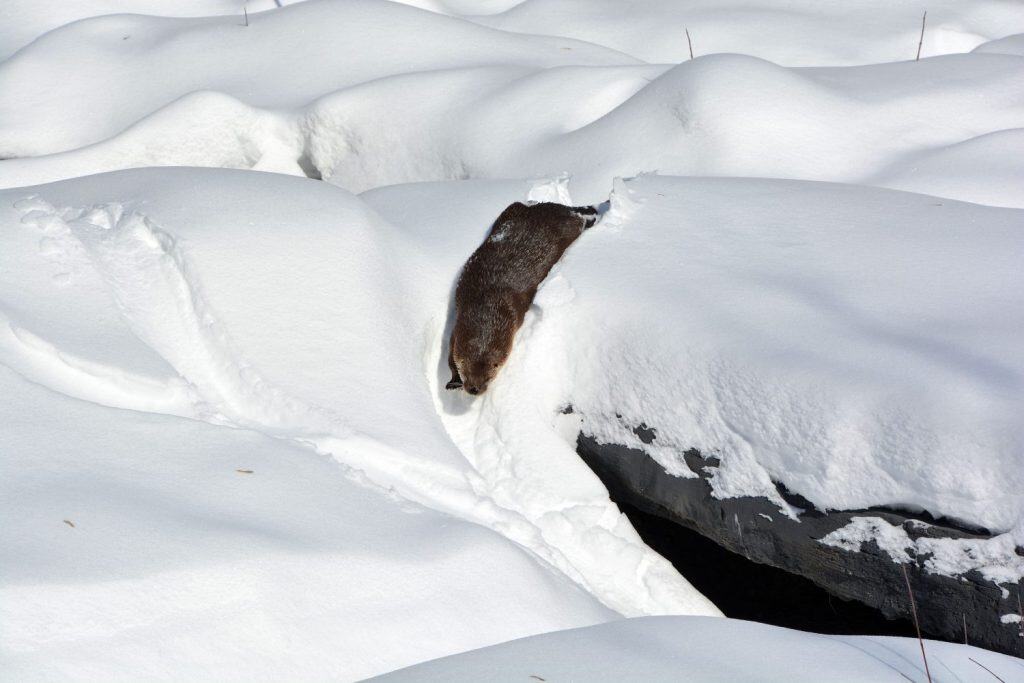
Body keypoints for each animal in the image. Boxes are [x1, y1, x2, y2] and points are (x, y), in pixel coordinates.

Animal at [446, 201, 598, 395]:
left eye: (490, 375)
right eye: (466, 372)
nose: (474, 389)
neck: (485, 303)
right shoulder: (457, 327)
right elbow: (450, 357)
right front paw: (453, 381)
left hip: (568, 228)